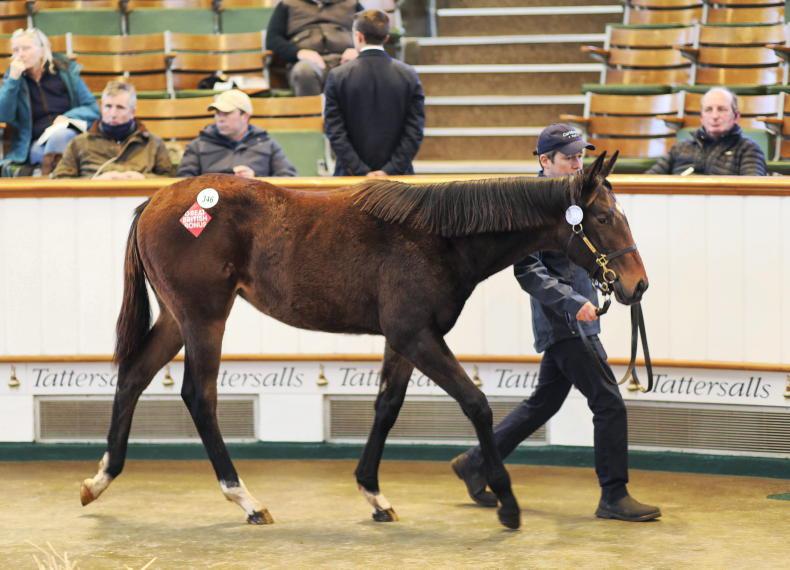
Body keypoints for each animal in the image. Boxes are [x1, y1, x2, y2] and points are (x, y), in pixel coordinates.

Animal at [79, 152, 647, 530]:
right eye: (602, 217)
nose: (636, 285)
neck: (438, 237)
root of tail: (157, 200)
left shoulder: (403, 340)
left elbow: (386, 407)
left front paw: (374, 495)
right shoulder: (418, 336)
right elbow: (477, 404)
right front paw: (507, 503)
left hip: (178, 319)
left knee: (133, 375)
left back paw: (100, 480)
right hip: (204, 318)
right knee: (200, 397)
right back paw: (246, 500)